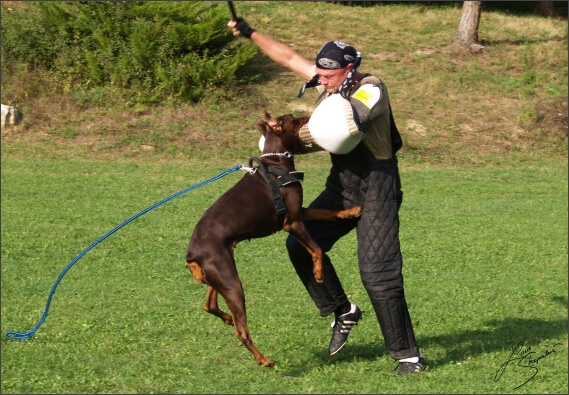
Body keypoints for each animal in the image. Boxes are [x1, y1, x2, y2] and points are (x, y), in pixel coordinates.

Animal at [186, 111, 364, 368]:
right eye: (296, 119)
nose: (308, 114)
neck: (277, 165)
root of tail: (192, 253)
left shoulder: (301, 212)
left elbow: (328, 213)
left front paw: (351, 211)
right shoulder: (292, 223)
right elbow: (317, 249)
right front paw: (318, 273)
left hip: (218, 275)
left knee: (209, 305)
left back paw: (228, 318)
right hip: (230, 281)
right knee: (241, 330)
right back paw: (263, 359)